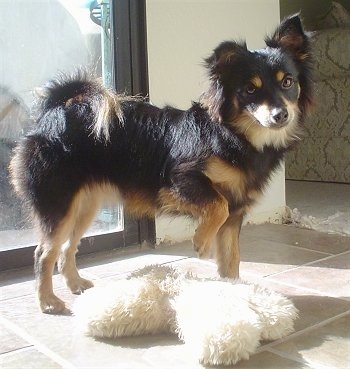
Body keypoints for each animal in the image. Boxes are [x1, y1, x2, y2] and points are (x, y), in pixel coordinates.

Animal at [9, 15, 314, 314]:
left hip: (83, 206)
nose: (280, 115)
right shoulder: (179, 181)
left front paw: (233, 296)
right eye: (250, 90)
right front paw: (200, 242)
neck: (236, 136)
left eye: (288, 82)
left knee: (67, 249)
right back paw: (48, 301)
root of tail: (55, 112)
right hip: (59, 205)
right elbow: (217, 206)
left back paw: (76, 285)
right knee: (43, 253)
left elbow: (231, 260)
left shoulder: (235, 214)